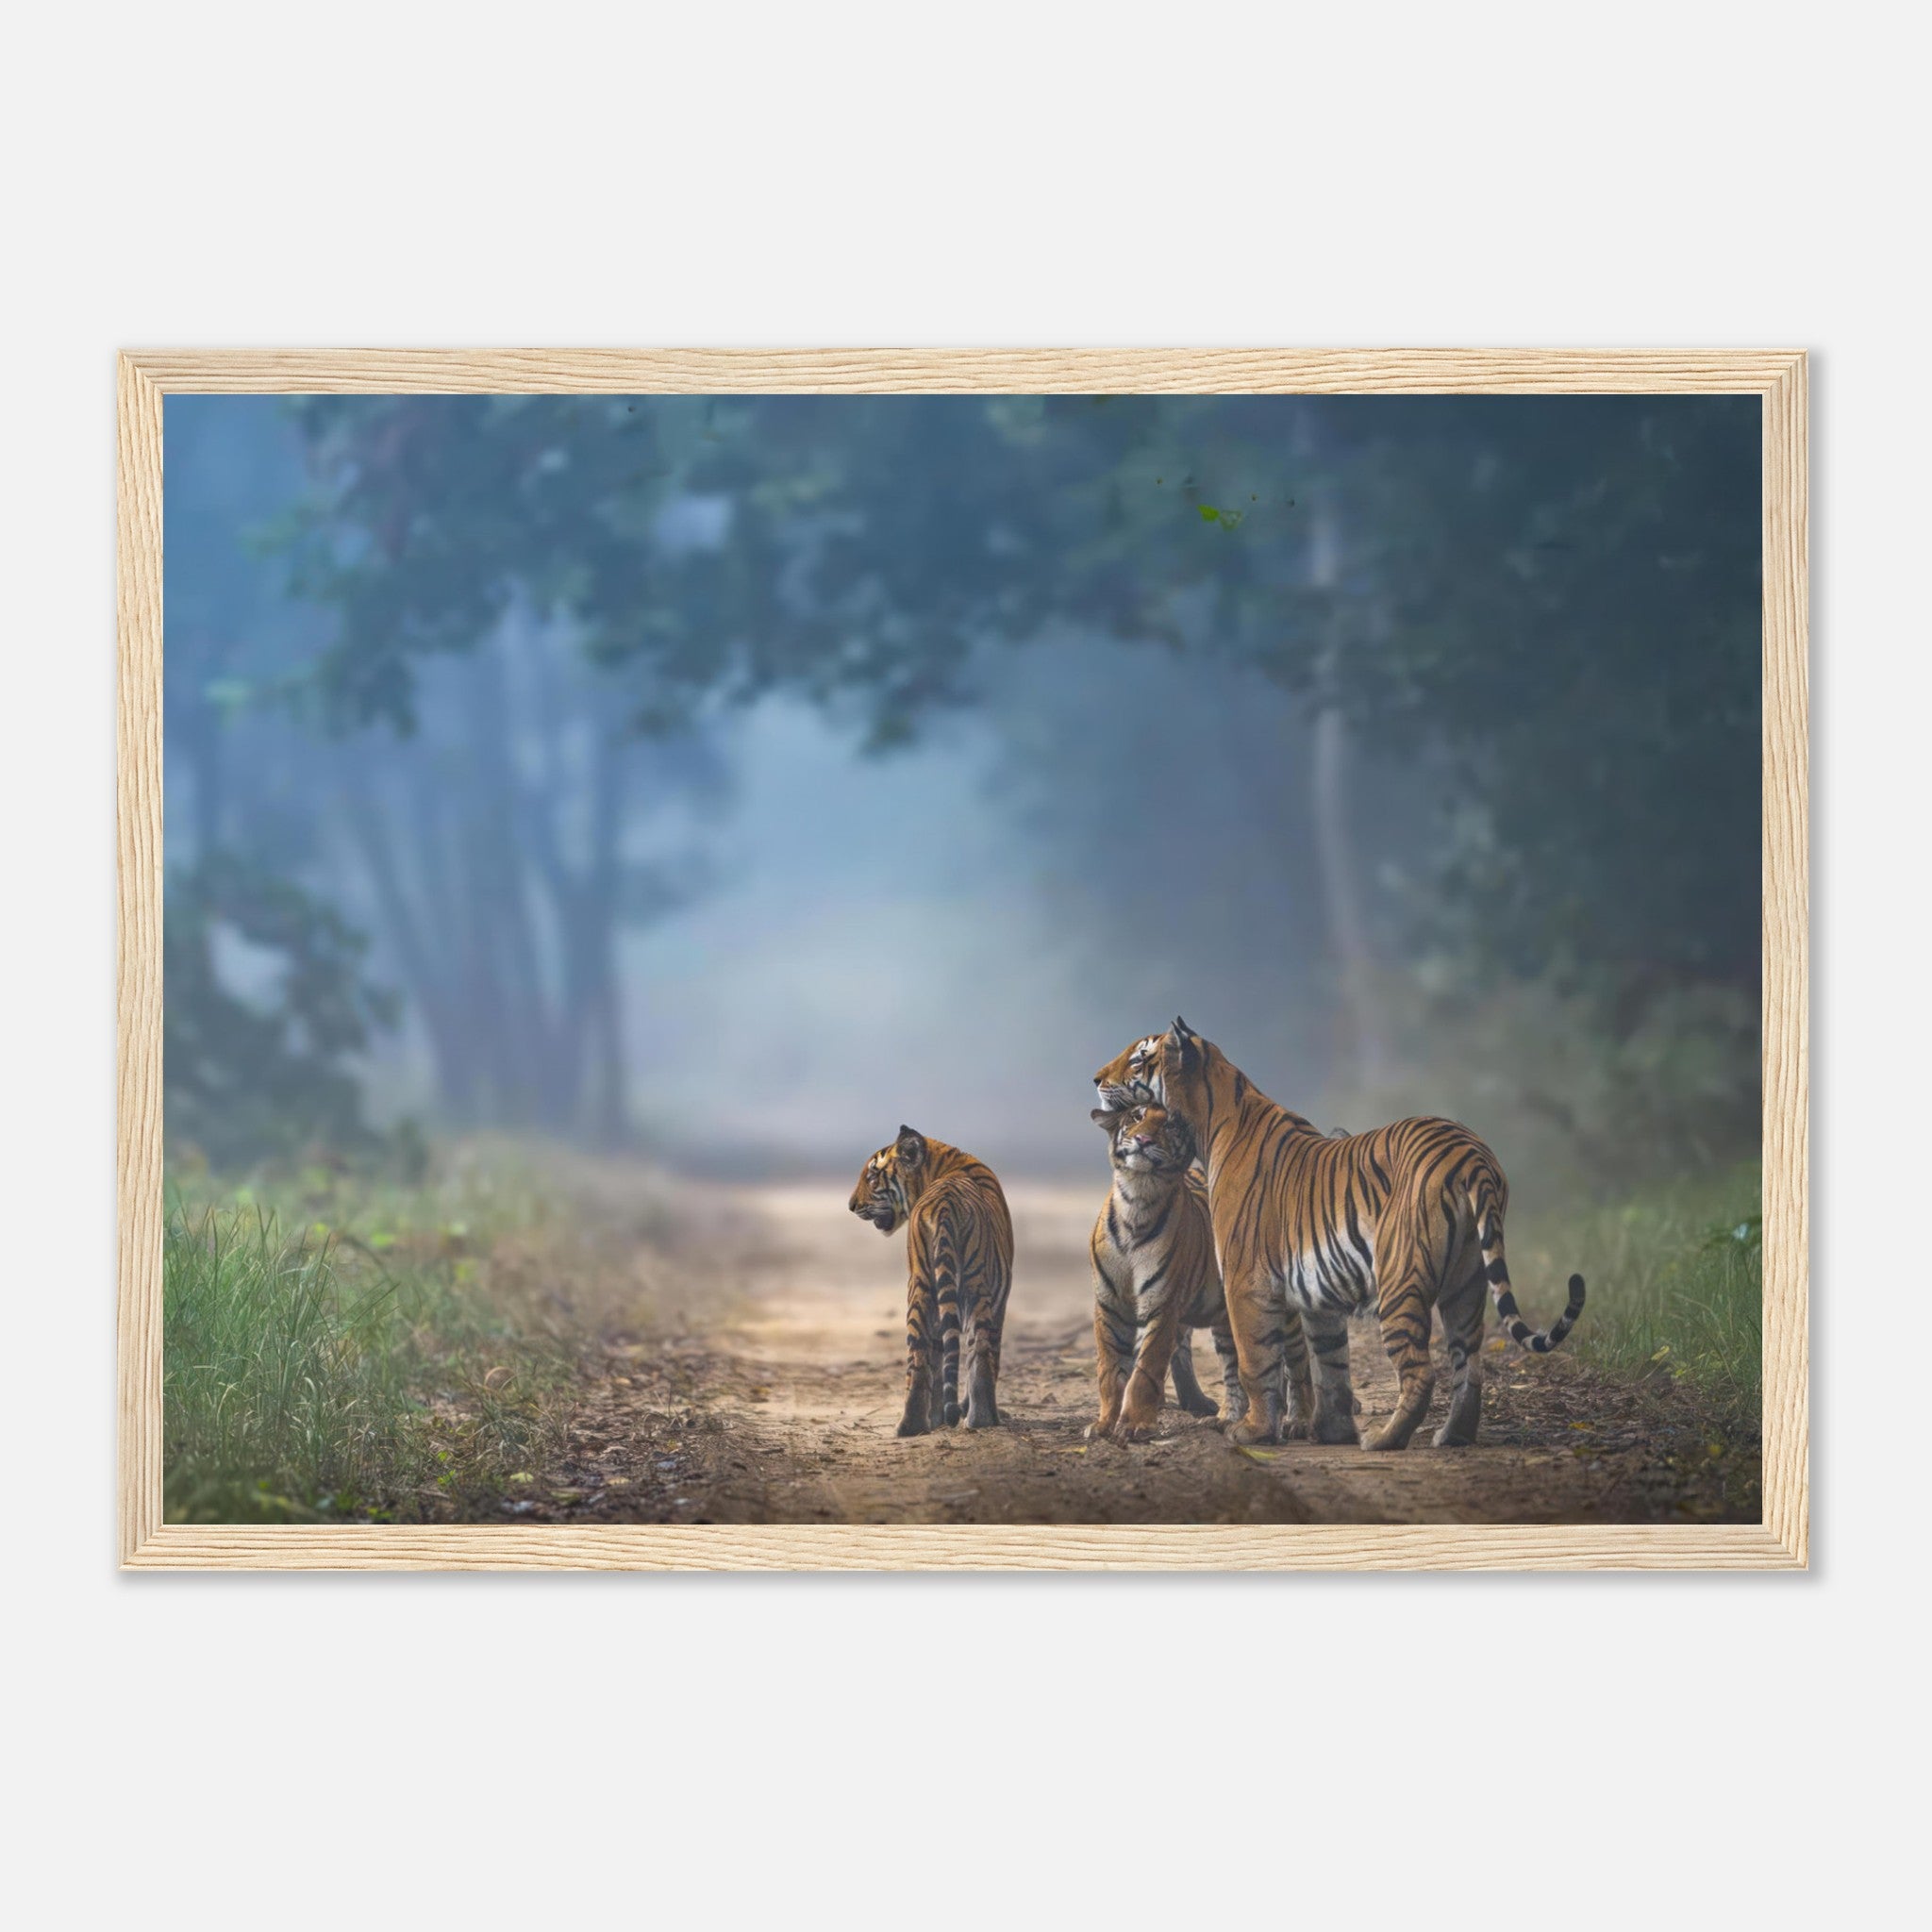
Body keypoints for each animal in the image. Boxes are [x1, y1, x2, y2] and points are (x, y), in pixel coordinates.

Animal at [849, 1125, 1014, 1437]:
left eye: (872, 1177)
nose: (851, 1206)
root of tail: (945, 1204)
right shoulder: (1000, 1300)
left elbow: (941, 1357)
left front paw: (939, 1417)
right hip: (970, 1284)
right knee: (975, 1352)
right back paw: (980, 1418)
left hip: (922, 1286)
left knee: (922, 1355)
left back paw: (912, 1426)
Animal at [1087, 1102, 1297, 1441]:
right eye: (1136, 1117)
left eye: (1170, 1126)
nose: (1144, 1139)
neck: (1137, 1199)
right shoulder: (1109, 1305)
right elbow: (1110, 1369)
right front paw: (1104, 1424)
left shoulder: (1161, 1305)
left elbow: (1146, 1369)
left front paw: (1134, 1425)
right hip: (1225, 1320)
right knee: (1233, 1368)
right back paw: (1225, 1418)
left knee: (1298, 1364)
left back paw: (1298, 1421)